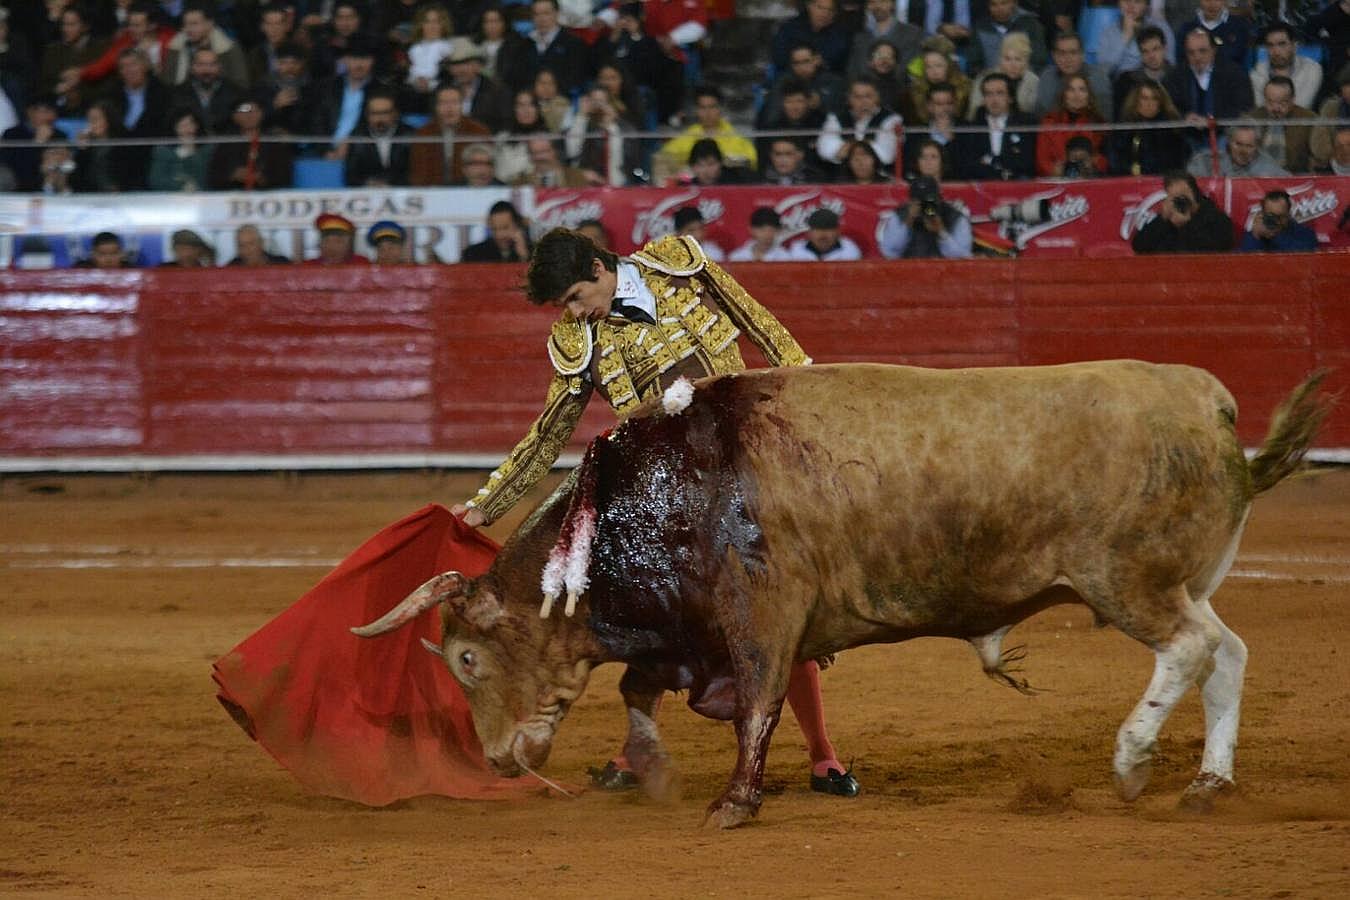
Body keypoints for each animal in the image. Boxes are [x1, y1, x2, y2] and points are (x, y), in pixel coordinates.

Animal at [351, 361, 1328, 825]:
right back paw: (1207, 784)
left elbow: (758, 705)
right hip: (1179, 581)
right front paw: (653, 769)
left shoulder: (760, 614)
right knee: (1228, 652)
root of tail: (1213, 409)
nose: (497, 761)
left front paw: (732, 805)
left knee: (1190, 649)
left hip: (1127, 580)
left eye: (467, 658)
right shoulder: (689, 635)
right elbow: (638, 690)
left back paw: (1131, 763)